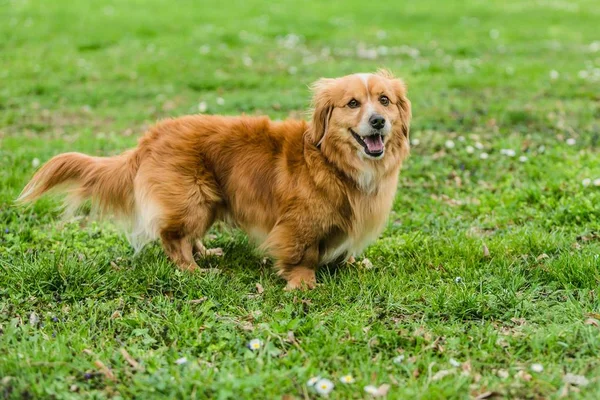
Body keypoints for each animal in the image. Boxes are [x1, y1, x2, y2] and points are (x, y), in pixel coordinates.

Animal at [19, 70, 412, 290]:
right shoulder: (298, 224)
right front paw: (303, 283)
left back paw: (207, 252)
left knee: (187, 236)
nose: (378, 121)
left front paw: (352, 262)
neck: (332, 161)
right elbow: (302, 254)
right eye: (352, 104)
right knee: (172, 238)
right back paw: (194, 270)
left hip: (208, 201)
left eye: (384, 100)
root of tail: (150, 137)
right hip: (192, 199)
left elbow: (342, 249)